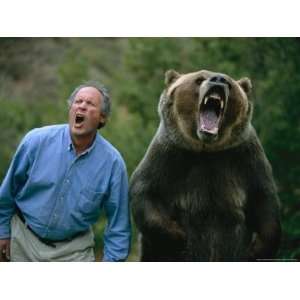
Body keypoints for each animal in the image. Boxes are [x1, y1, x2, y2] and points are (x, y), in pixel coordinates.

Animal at [131, 68, 282, 260]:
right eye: (199, 78)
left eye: (229, 83)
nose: (218, 79)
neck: (206, 149)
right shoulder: (169, 155)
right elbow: (147, 192)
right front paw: (177, 237)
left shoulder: (244, 158)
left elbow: (263, 197)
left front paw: (258, 248)